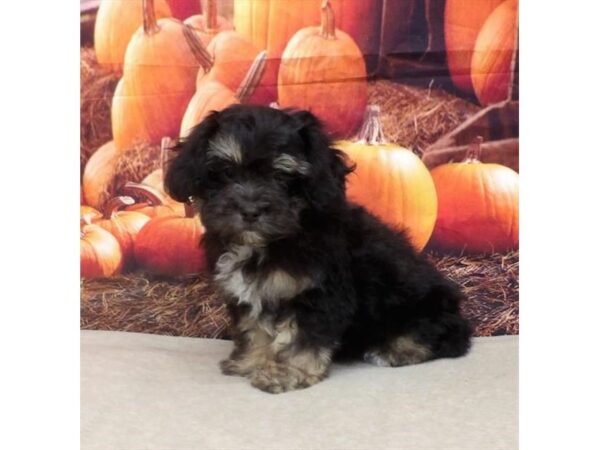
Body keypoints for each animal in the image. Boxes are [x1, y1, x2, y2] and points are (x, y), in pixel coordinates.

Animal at [165, 105, 474, 394]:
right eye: (228, 172)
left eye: (281, 176)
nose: (250, 211)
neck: (271, 241)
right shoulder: (251, 295)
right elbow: (255, 329)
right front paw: (252, 361)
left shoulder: (318, 293)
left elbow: (301, 336)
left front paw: (286, 372)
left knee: (445, 337)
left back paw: (393, 349)